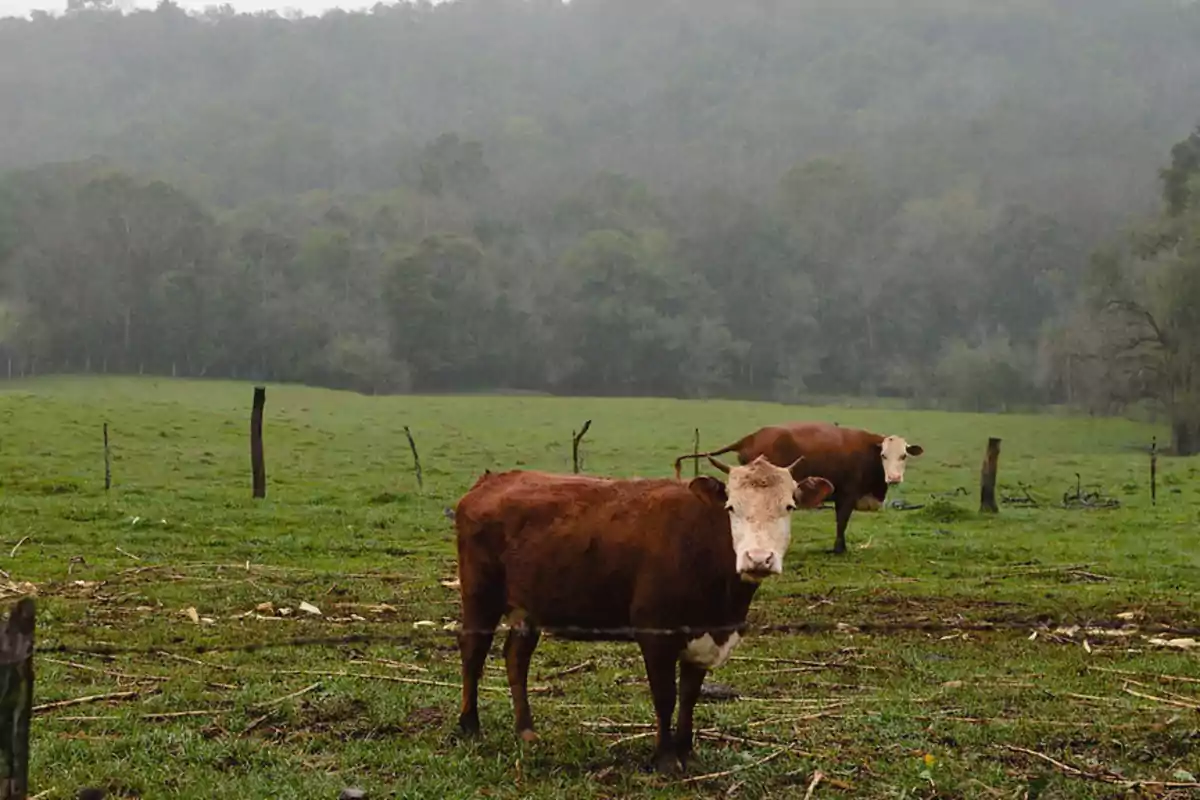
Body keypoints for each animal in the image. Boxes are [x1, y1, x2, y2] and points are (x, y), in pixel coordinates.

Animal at [451, 460, 835, 772]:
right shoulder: (655, 631)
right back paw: (469, 726)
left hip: (528, 604)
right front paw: (665, 758)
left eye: (789, 506)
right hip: (480, 593)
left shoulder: (703, 637)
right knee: (473, 652)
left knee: (516, 657)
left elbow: (689, 696)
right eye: (731, 507)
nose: (758, 558)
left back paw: (526, 730)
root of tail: (492, 480)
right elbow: (665, 695)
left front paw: (687, 752)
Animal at [676, 424, 926, 556]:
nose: (894, 478)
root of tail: (752, 436)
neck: (867, 452)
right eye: (884, 455)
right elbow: (841, 522)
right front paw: (839, 549)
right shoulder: (846, 495)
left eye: (903, 456)